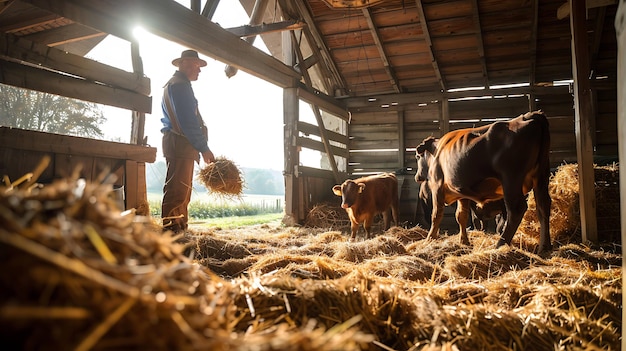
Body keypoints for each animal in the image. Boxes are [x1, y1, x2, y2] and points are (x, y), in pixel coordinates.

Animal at [414, 111, 552, 252]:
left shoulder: (437, 187)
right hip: (541, 176)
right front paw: (464, 242)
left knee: (516, 209)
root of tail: (528, 116)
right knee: (543, 206)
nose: (417, 177)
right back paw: (544, 247)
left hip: (511, 179)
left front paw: (429, 239)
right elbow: (461, 216)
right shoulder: (461, 193)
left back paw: (500, 244)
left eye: (417, 156)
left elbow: (436, 215)